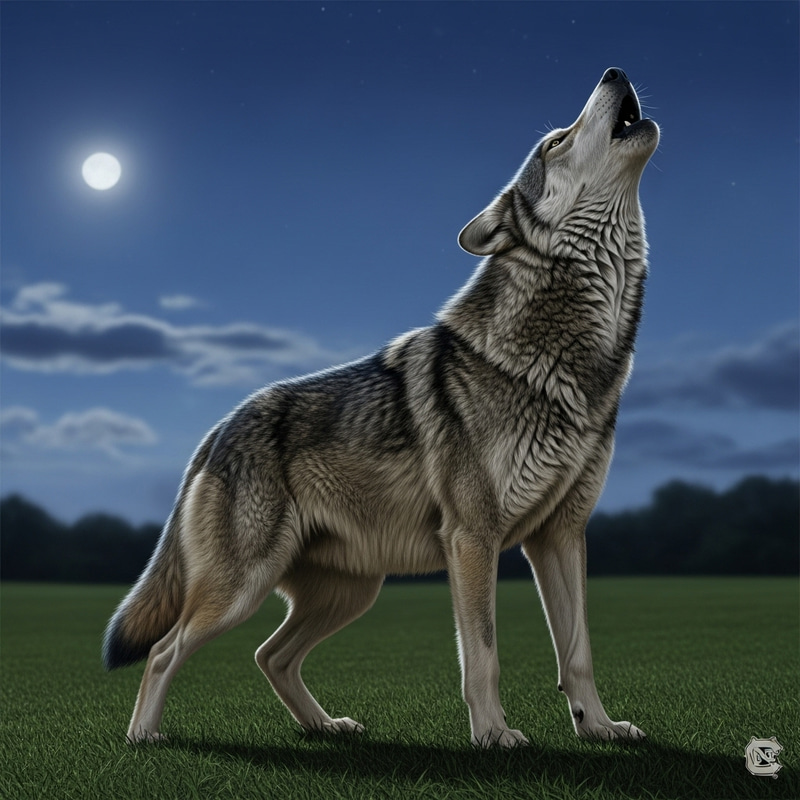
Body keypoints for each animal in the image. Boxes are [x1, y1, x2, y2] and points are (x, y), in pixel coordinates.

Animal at [104, 67, 659, 748]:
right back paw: (143, 739)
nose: (614, 71)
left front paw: (598, 727)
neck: (573, 358)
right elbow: (484, 653)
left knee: (269, 654)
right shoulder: (472, 538)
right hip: (242, 590)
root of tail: (216, 432)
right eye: (556, 142)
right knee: (166, 649)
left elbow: (578, 652)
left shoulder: (561, 535)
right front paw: (494, 737)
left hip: (352, 593)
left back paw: (326, 726)